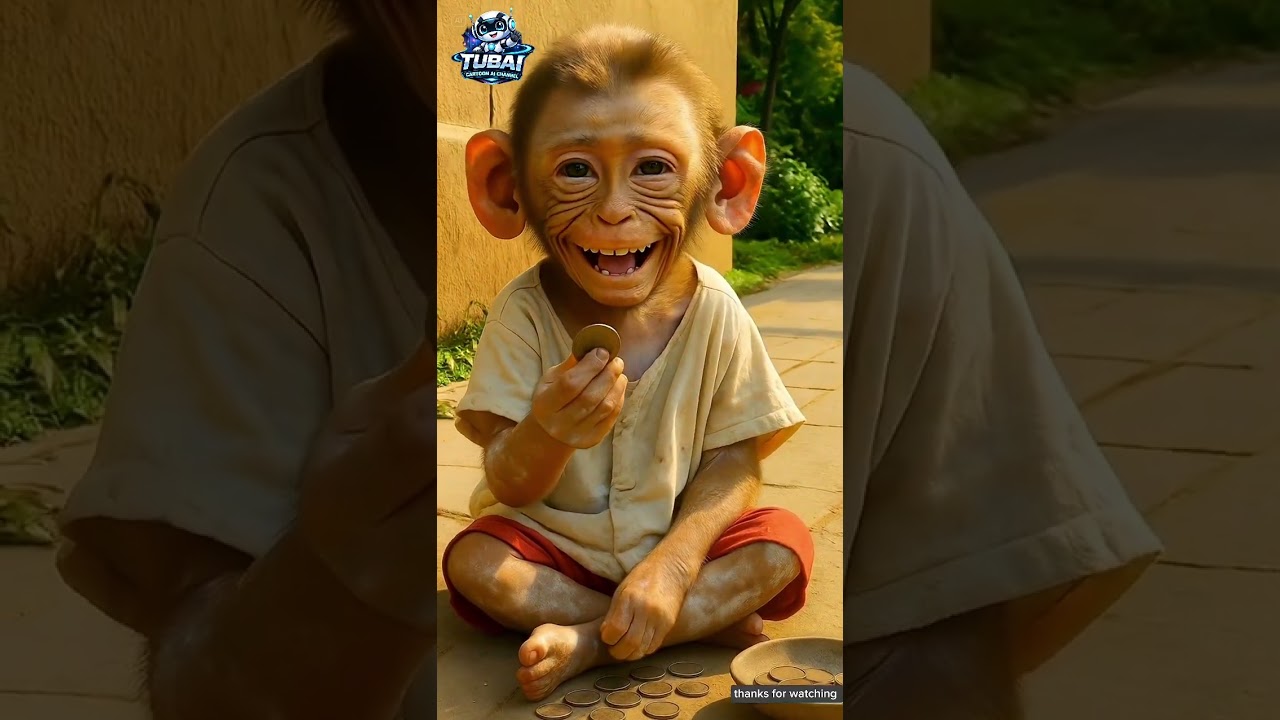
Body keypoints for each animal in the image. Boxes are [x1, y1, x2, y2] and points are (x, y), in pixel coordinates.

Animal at [446, 25, 815, 702]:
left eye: (651, 169)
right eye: (576, 170)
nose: (614, 216)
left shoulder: (737, 326)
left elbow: (731, 462)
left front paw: (652, 598)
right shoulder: (506, 321)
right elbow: (509, 460)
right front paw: (558, 418)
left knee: (776, 543)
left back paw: (704, 620)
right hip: (530, 559)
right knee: (484, 559)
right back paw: (567, 644)